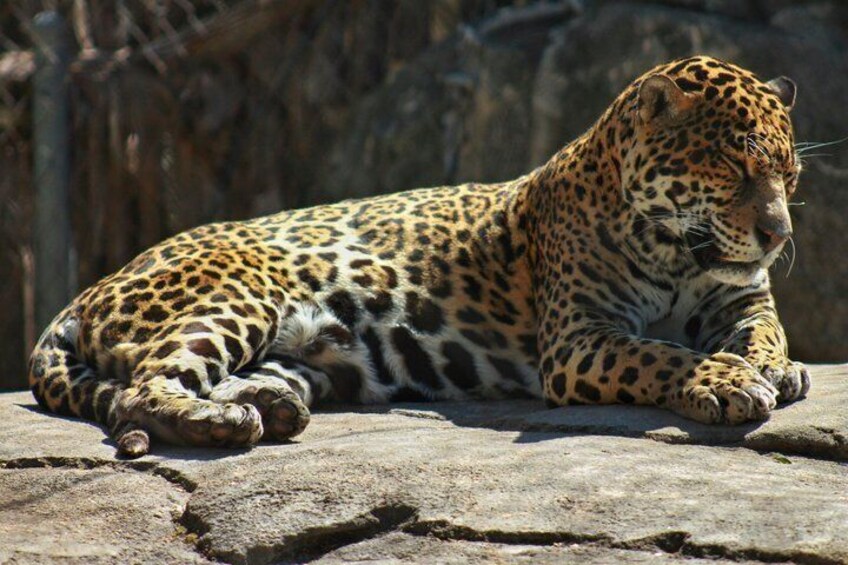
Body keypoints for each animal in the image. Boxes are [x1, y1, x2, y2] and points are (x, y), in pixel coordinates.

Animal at [29, 56, 810, 458]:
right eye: (734, 168)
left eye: (789, 174)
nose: (777, 236)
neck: (677, 250)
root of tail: (85, 292)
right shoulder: (578, 340)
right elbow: (660, 353)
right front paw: (725, 380)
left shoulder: (741, 300)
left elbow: (765, 331)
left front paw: (775, 368)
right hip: (238, 291)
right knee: (141, 388)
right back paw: (222, 424)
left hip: (315, 354)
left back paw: (269, 406)